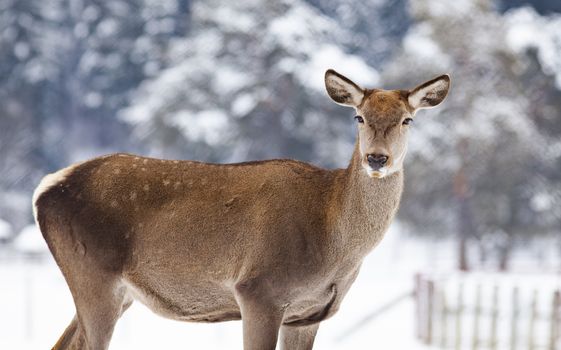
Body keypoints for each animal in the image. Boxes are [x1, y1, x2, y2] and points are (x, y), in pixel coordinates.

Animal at [32, 69, 448, 350]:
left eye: (408, 119)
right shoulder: (258, 289)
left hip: (118, 292)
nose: (376, 158)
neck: (333, 244)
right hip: (93, 274)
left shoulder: (309, 314)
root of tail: (44, 189)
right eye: (358, 116)